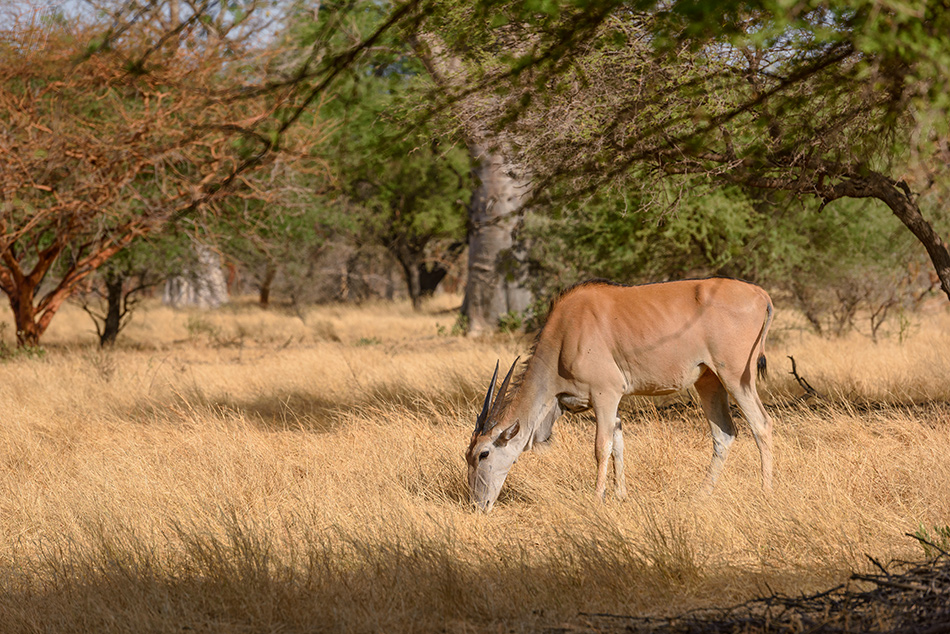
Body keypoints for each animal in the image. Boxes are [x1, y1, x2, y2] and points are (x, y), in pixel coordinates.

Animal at [466, 276, 772, 508]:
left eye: (483, 454)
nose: (478, 504)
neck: (566, 334)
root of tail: (761, 295)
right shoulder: (611, 405)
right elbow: (619, 444)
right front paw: (620, 495)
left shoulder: (606, 395)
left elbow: (602, 447)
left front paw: (597, 499)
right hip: (709, 380)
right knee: (724, 434)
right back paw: (701, 495)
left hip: (735, 378)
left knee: (761, 425)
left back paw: (764, 492)